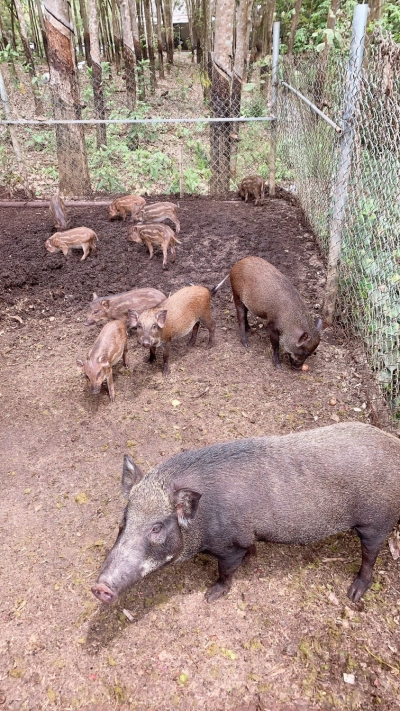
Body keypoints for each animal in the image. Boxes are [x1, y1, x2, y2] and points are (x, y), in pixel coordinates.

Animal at [92, 422, 400, 608]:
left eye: (156, 528)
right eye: (123, 521)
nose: (99, 587)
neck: (201, 521)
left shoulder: (230, 545)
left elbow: (226, 571)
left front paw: (210, 596)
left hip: (376, 521)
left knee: (370, 556)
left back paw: (353, 594)